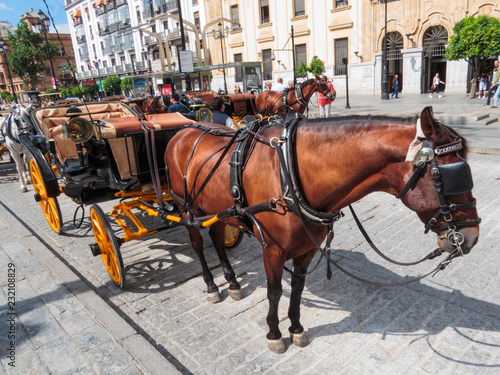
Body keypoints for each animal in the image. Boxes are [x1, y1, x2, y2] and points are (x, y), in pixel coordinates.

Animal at [165, 106, 480, 356]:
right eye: (449, 176)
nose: (472, 237)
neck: (290, 172)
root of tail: (183, 130)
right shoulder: (273, 250)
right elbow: (275, 292)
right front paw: (275, 334)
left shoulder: (305, 249)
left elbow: (297, 289)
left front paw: (295, 328)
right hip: (186, 209)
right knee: (198, 245)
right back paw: (211, 285)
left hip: (213, 210)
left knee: (217, 240)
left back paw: (231, 282)